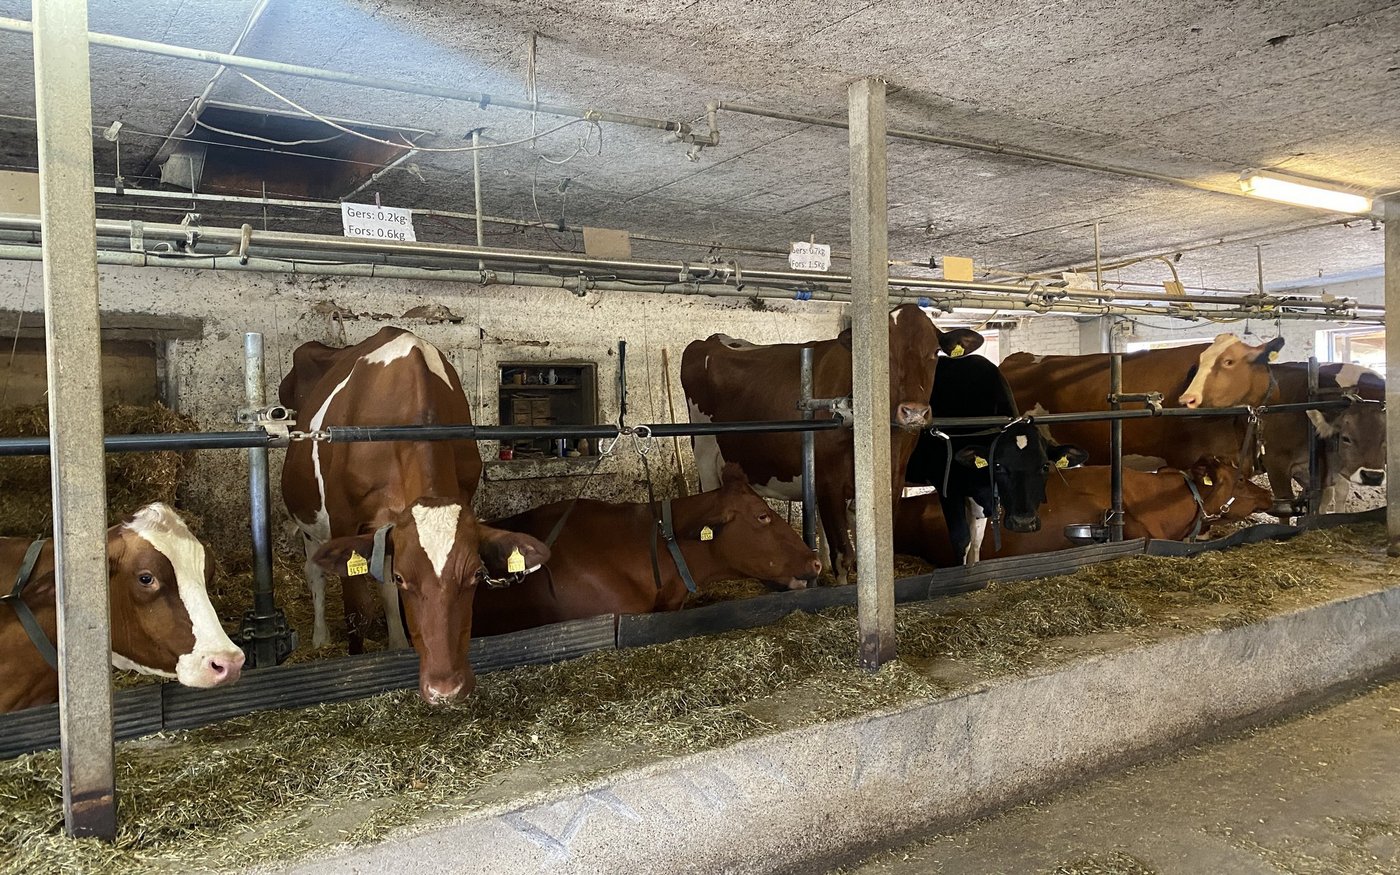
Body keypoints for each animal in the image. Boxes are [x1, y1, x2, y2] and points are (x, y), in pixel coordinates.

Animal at [280, 327, 549, 705]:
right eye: (406, 577)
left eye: (477, 575)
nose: (445, 689)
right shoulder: (344, 519)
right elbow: (356, 610)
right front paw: (352, 663)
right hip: (310, 524)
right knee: (315, 573)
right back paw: (320, 638)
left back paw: (395, 643)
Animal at [681, 305, 983, 584]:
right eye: (882, 352)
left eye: (935, 352)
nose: (914, 412)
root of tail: (710, 340)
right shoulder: (829, 481)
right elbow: (844, 554)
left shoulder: (894, 480)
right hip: (706, 455)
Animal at [904, 354, 1086, 564]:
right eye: (998, 466)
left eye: (1045, 467)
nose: (1023, 522)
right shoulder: (947, 486)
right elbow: (961, 540)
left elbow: (976, 541)